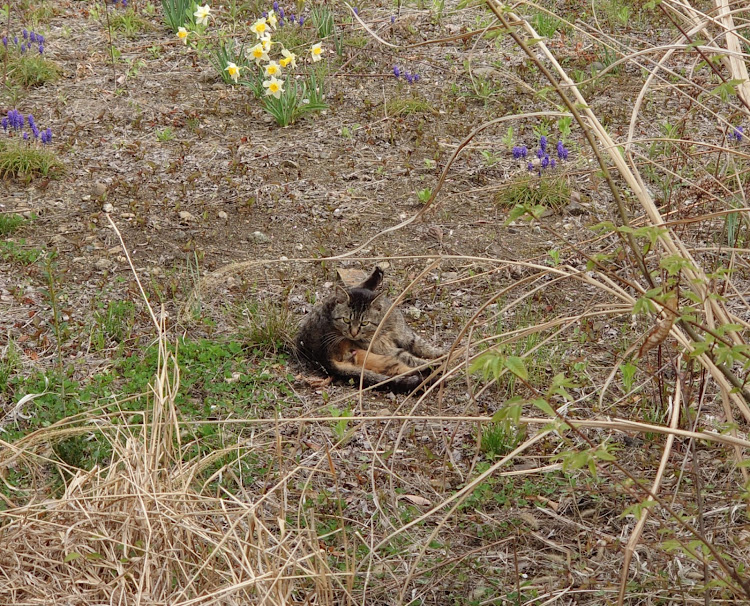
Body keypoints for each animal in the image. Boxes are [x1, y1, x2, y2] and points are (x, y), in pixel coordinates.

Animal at [296, 268, 446, 392]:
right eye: (346, 320)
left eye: (364, 323)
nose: (353, 333)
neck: (383, 328)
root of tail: (322, 358)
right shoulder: (387, 350)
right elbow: (411, 357)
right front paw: (438, 360)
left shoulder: (406, 335)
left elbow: (424, 346)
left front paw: (443, 353)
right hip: (381, 358)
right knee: (409, 370)